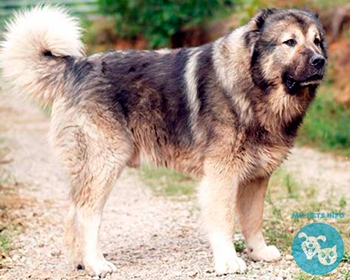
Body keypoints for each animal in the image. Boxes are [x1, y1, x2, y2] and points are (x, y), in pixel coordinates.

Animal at [1, 6, 326, 278]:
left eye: (317, 41)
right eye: (290, 42)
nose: (319, 61)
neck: (253, 86)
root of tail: (74, 67)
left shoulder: (256, 178)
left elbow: (253, 219)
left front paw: (258, 252)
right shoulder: (221, 176)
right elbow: (224, 220)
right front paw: (228, 260)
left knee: (73, 213)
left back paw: (80, 261)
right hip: (105, 163)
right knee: (86, 215)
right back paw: (96, 263)